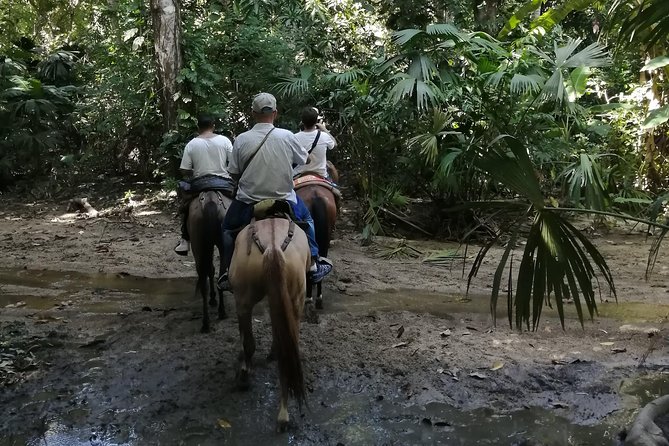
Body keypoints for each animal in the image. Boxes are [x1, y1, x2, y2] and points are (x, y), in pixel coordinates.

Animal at [187, 190, 231, 332]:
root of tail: (211, 199)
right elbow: (211, 270)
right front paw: (213, 298)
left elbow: (209, 270)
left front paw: (212, 298)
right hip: (218, 245)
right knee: (219, 274)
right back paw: (221, 312)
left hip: (198, 247)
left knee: (203, 280)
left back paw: (206, 322)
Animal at [227, 217, 306, 432]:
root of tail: (272, 246)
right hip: (293, 298)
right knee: (288, 347)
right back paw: (283, 413)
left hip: (244, 299)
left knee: (249, 343)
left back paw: (245, 376)